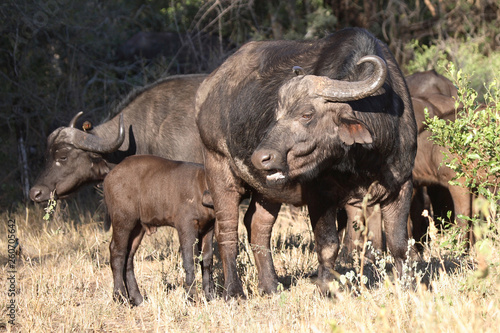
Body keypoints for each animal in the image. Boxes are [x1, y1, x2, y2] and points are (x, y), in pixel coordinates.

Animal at [103, 154, 215, 304]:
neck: (201, 186)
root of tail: (110, 175)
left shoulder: (209, 228)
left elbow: (207, 259)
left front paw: (209, 295)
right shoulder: (186, 226)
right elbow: (190, 259)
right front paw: (191, 297)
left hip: (138, 227)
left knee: (129, 255)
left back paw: (137, 298)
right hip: (123, 221)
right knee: (117, 252)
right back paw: (120, 296)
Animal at [195, 27, 418, 298]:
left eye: (306, 114)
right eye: (277, 114)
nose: (261, 157)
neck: (365, 159)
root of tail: (206, 89)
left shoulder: (401, 186)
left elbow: (399, 245)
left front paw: (407, 287)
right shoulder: (319, 195)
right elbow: (328, 245)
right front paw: (325, 288)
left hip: (267, 189)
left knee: (258, 226)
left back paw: (270, 286)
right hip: (218, 168)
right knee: (226, 231)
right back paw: (234, 291)